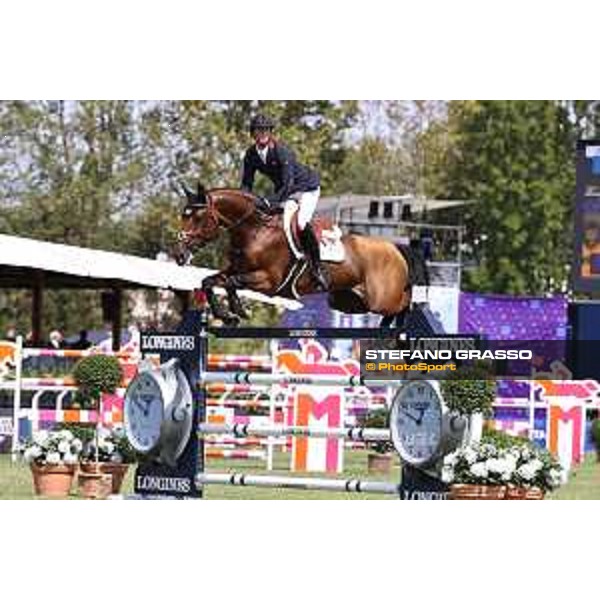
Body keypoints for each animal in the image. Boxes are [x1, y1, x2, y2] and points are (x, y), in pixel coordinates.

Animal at [171, 183, 428, 328]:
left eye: (197, 217)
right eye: (184, 215)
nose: (179, 255)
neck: (255, 230)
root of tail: (395, 248)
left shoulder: (269, 282)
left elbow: (232, 283)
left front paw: (237, 311)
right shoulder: (236, 269)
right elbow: (210, 281)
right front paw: (228, 315)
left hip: (382, 299)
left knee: (404, 304)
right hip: (349, 301)